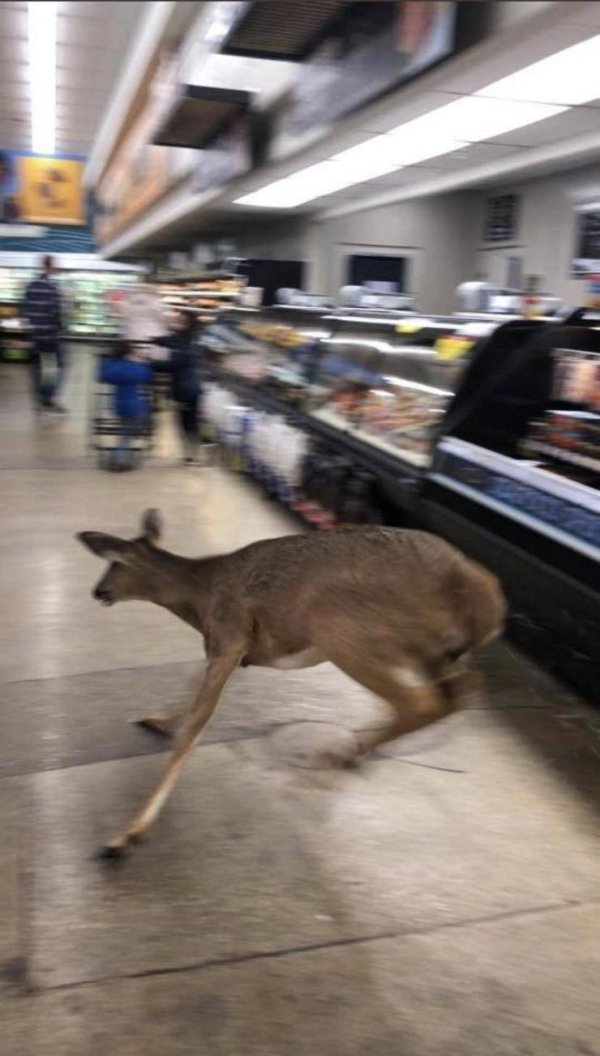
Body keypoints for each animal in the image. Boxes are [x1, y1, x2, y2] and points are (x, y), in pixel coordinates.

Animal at [76, 511, 507, 857]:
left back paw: (341, 753)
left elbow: (196, 726)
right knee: (460, 690)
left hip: (346, 629)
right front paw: (159, 719)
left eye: (114, 562)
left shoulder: (230, 636)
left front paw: (127, 833)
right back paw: (355, 751)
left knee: (420, 701)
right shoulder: (232, 650)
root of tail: (483, 597)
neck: (202, 598)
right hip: (430, 652)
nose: (98, 591)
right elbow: (191, 688)